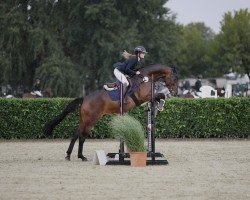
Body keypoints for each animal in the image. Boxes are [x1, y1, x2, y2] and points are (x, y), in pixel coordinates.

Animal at [44, 64, 179, 161]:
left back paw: (69, 155)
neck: (146, 77)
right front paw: (160, 105)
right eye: (175, 78)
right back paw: (81, 156)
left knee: (75, 135)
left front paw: (157, 107)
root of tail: (85, 98)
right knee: (82, 137)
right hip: (91, 121)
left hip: (84, 120)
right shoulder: (144, 97)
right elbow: (160, 95)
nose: (175, 92)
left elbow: (159, 97)